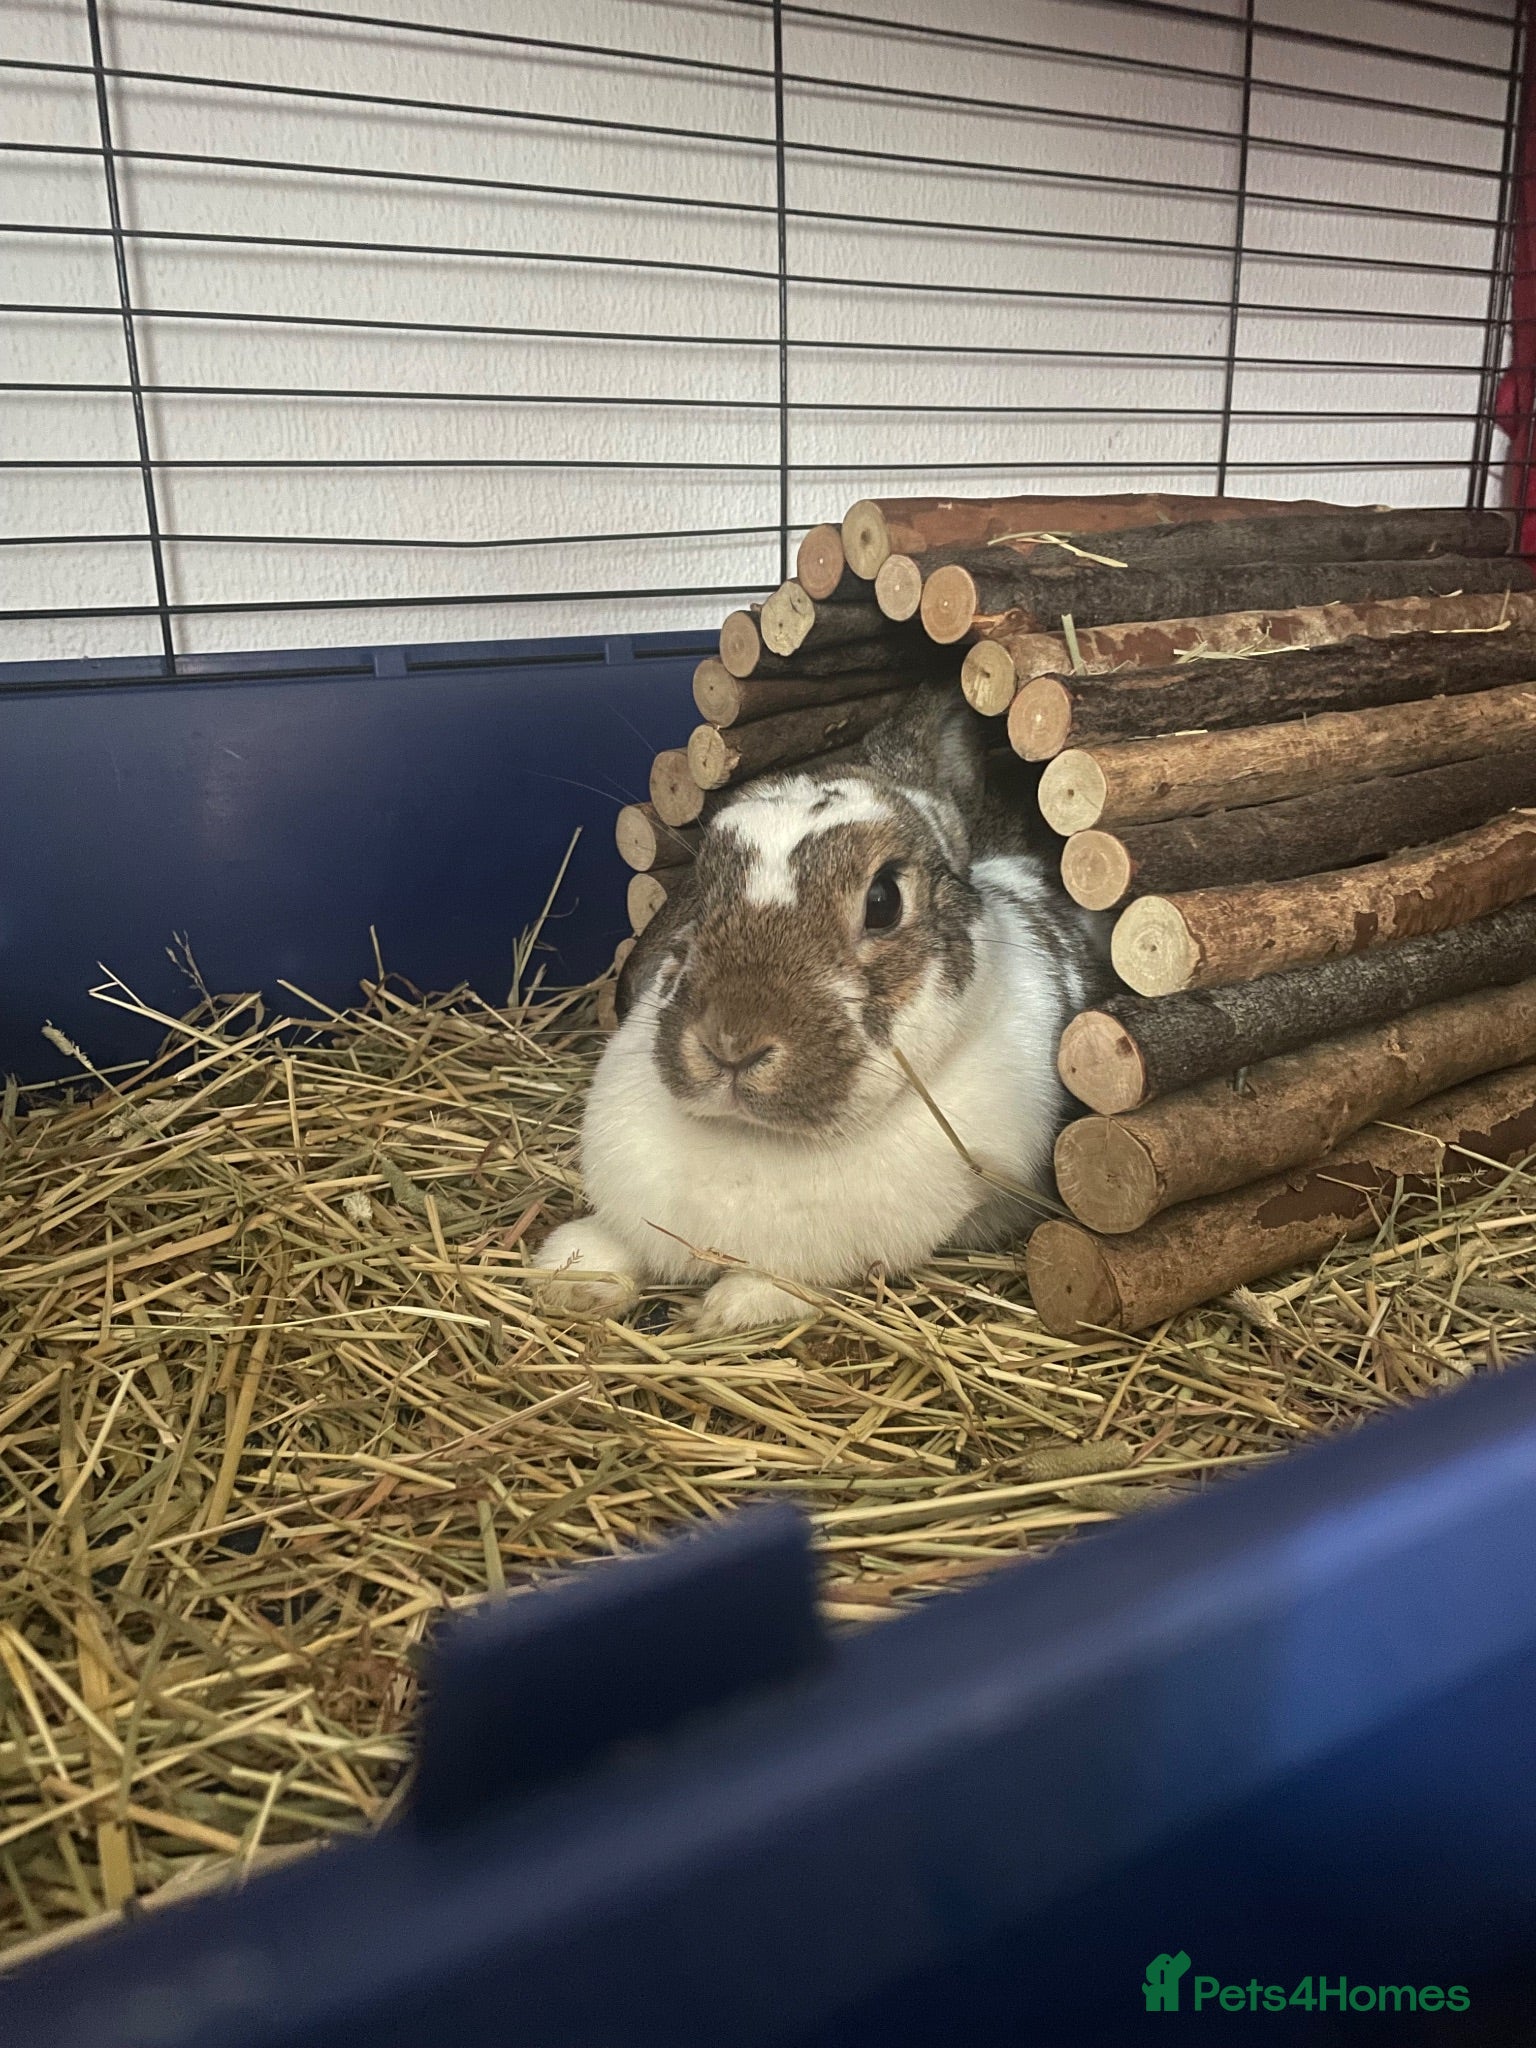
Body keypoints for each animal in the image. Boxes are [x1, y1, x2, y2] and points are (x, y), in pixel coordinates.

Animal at [537, 684, 1114, 1335]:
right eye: (701, 885)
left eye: (884, 899)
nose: (730, 1044)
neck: (756, 1139)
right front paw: (570, 1273)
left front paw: (733, 1307)